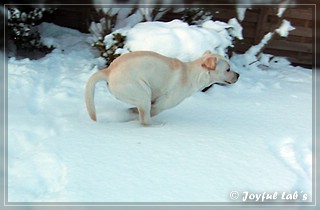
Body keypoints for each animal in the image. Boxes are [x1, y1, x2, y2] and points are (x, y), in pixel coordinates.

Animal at [84, 50, 239, 125]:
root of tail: (108, 70)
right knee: (145, 120)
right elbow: (150, 112)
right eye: (228, 69)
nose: (238, 75)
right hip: (143, 93)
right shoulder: (160, 105)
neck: (192, 74)